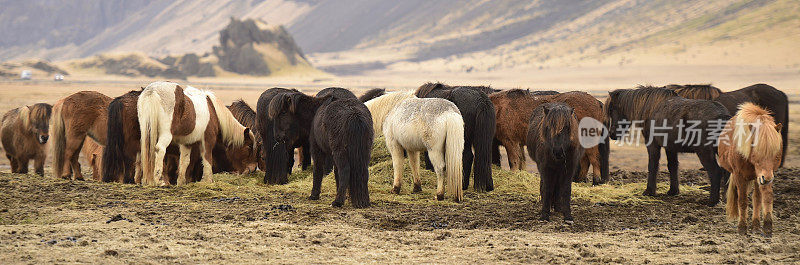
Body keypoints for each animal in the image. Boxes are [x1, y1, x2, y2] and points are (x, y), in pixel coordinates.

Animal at [720, 102, 784, 236]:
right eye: (757, 152)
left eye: (776, 154)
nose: (767, 179)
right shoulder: (739, 175)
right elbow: (742, 200)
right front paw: (742, 227)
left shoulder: (765, 175)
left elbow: (766, 198)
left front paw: (767, 227)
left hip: (758, 178)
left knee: (757, 199)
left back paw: (755, 226)